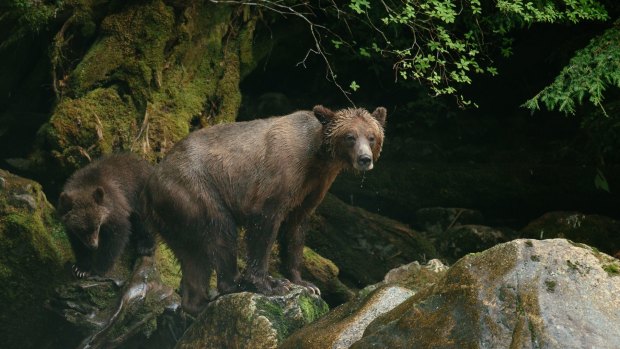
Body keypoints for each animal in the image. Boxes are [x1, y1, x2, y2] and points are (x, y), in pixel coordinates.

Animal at [145, 104, 388, 312]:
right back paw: (235, 283)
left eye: (371, 136)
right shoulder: (281, 174)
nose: (365, 159)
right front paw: (269, 284)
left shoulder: (313, 187)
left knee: (193, 257)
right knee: (220, 232)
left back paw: (196, 303)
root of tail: (153, 180)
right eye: (350, 137)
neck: (317, 157)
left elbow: (296, 230)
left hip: (175, 217)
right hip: (195, 189)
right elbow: (264, 225)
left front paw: (305, 283)